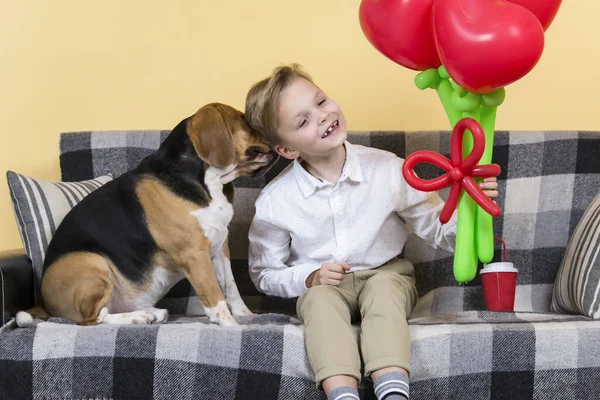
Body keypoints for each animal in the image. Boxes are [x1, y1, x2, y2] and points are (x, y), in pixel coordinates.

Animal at [17, 103, 278, 328]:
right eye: (244, 119)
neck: (209, 181)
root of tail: (46, 306)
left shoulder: (220, 247)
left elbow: (231, 288)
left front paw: (245, 315)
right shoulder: (194, 254)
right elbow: (215, 296)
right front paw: (231, 326)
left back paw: (152, 313)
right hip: (91, 262)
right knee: (93, 319)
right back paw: (139, 317)